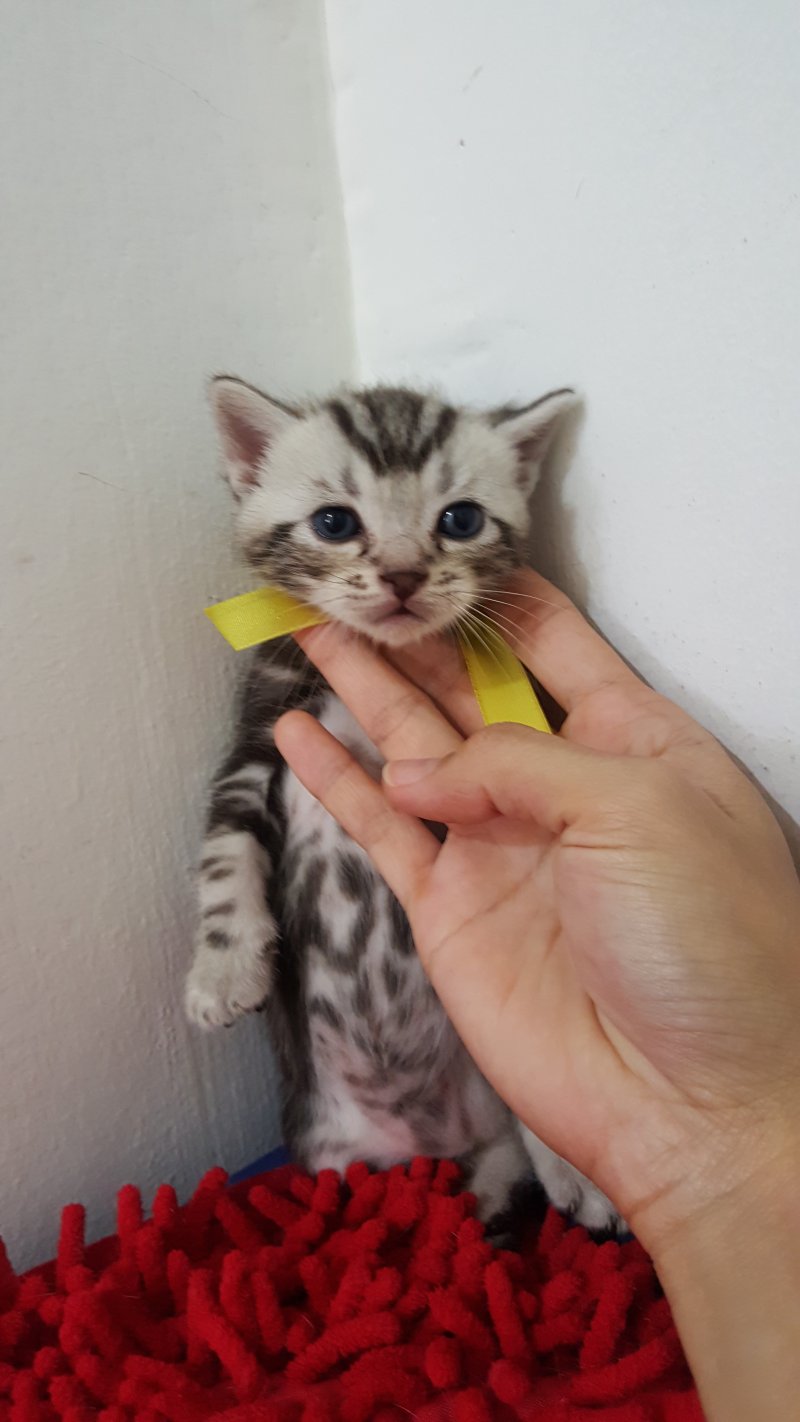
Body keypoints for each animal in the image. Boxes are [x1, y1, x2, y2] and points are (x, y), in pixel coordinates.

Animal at [185, 377, 622, 1233]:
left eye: (460, 520)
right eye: (334, 523)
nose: (402, 575)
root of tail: (430, 1144)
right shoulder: (258, 743)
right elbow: (225, 849)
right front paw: (223, 968)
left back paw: (530, 1181)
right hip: (326, 1149)